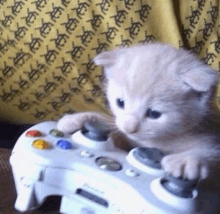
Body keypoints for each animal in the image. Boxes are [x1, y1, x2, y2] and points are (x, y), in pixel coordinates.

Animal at [57, 43, 220, 182]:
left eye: (154, 114)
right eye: (120, 102)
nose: (130, 128)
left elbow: (212, 152)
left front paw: (186, 160)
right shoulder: (127, 137)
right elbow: (111, 125)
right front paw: (76, 119)